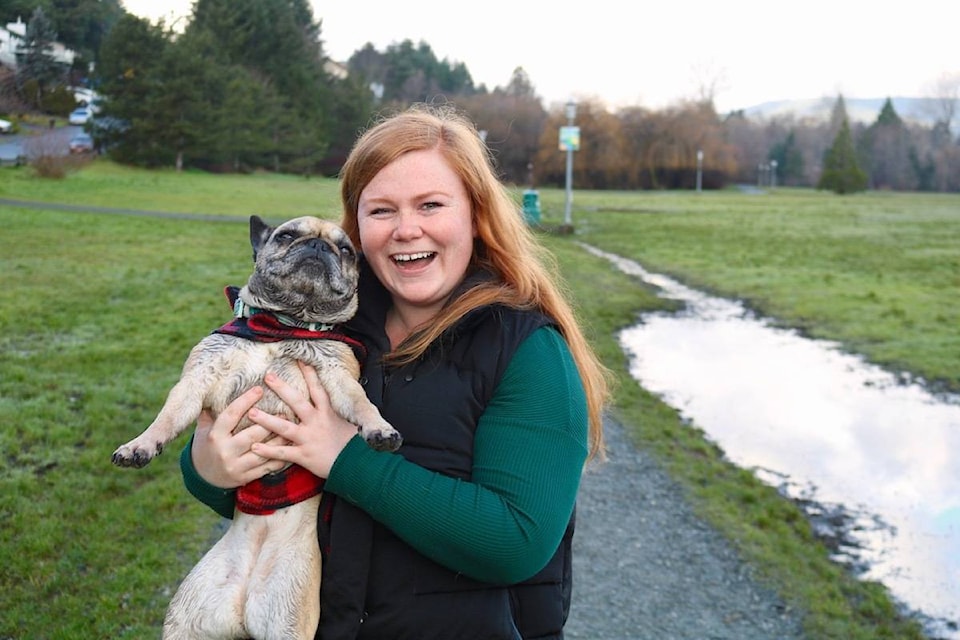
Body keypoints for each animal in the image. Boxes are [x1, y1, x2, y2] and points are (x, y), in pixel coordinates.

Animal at [112, 215, 402, 640]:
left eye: (346, 250)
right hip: (186, 621)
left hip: (287, 622)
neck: (285, 324)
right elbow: (168, 415)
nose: (318, 247)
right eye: (286, 236)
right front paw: (140, 445)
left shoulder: (339, 377)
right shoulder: (197, 378)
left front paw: (379, 428)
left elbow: (361, 403)